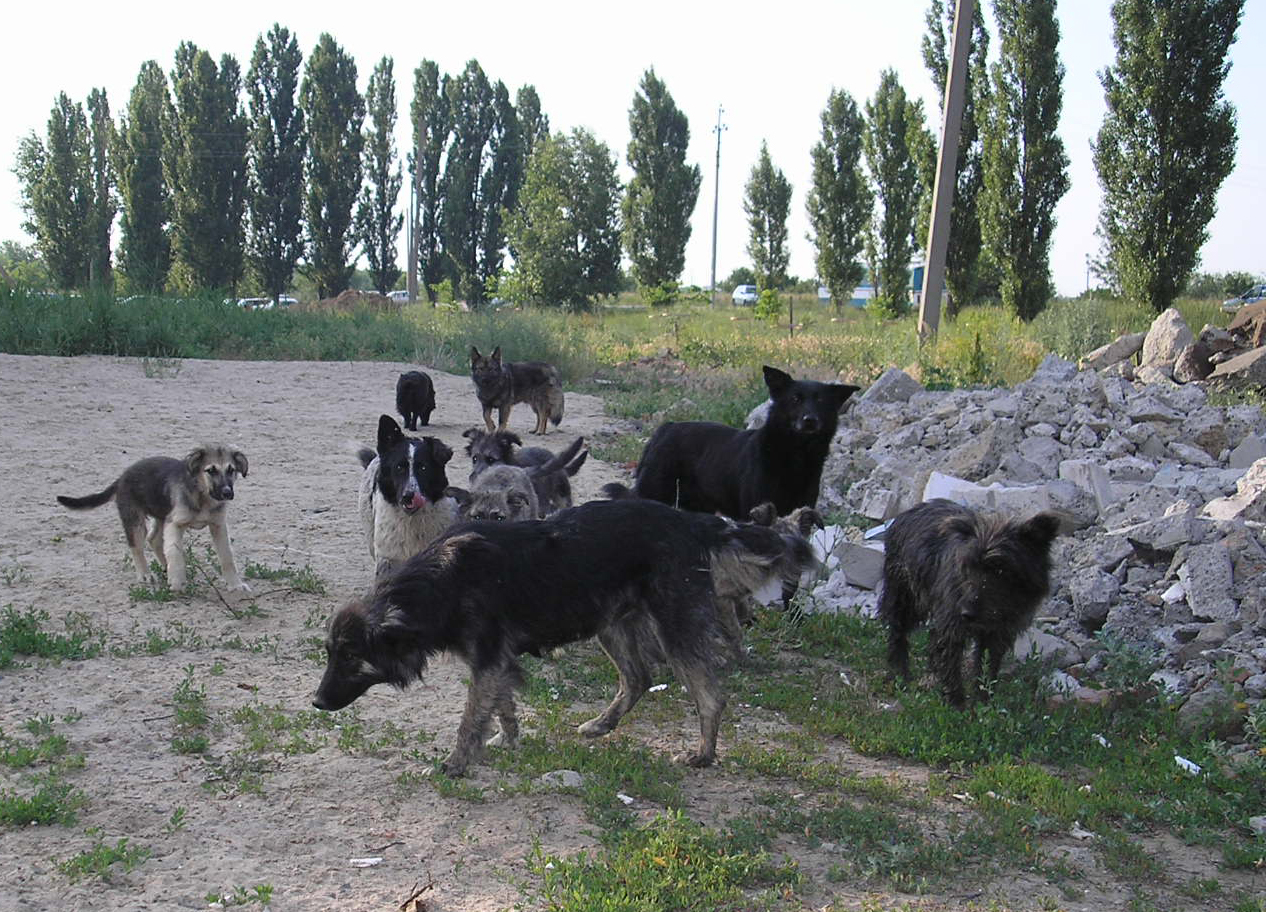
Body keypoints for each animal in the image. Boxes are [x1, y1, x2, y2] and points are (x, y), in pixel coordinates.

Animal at [308, 499, 800, 775]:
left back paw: (702, 755)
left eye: (349, 657)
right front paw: (505, 742)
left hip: (673, 627)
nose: (315, 702)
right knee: (639, 678)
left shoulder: (488, 659)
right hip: (610, 623)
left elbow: (471, 717)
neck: (442, 582)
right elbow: (501, 707)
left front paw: (457, 764)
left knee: (710, 695)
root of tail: (694, 521)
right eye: (330, 653)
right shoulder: (494, 661)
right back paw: (602, 724)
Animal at [612, 364, 860, 519]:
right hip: (653, 492)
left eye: (821, 401)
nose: (810, 420)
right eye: (795, 399)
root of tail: (666, 428)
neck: (795, 454)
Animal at [876, 499, 1063, 704]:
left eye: (1001, 570)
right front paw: (956, 703)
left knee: (932, 637)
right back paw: (899, 673)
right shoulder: (952, 623)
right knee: (898, 631)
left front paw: (984, 700)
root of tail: (907, 512)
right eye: (969, 567)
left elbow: (987, 667)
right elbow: (951, 663)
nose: (966, 613)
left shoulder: (998, 633)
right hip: (906, 596)